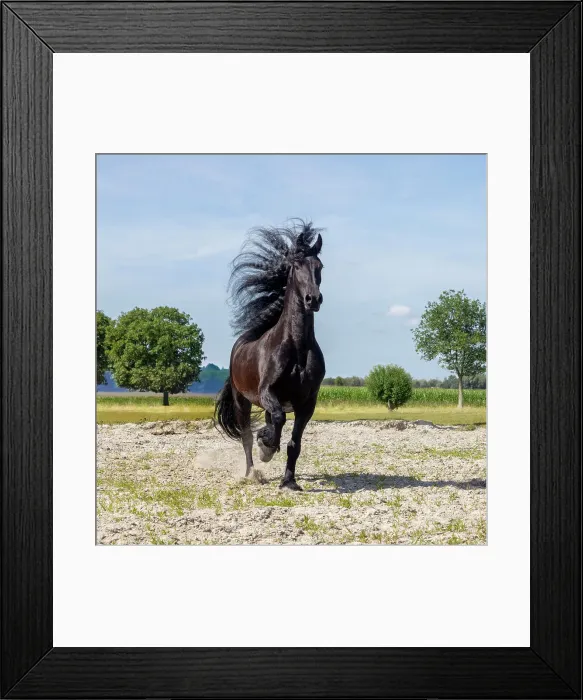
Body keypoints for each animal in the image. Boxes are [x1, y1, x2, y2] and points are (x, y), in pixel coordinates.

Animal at [214, 220, 325, 490]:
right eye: (296, 266)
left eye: (319, 267)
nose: (313, 299)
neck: (297, 348)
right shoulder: (267, 392)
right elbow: (276, 420)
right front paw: (265, 446)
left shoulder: (308, 403)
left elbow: (294, 443)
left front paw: (289, 481)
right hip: (242, 401)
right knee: (246, 436)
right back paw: (251, 472)